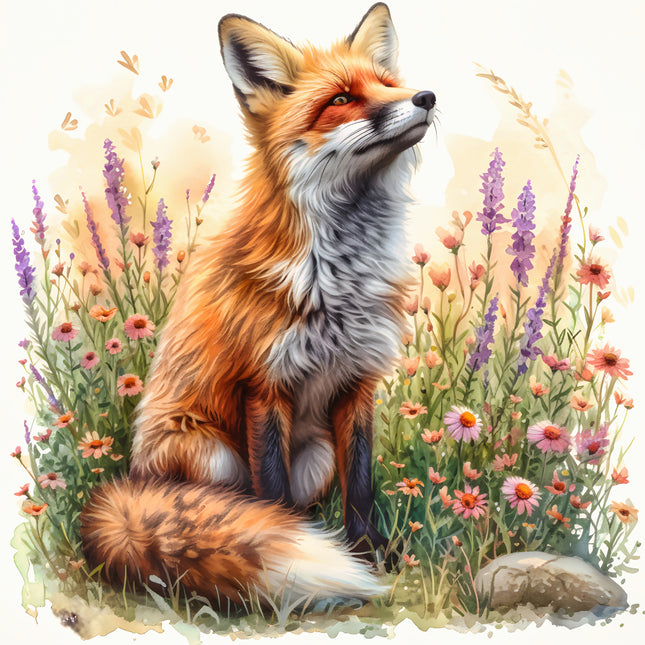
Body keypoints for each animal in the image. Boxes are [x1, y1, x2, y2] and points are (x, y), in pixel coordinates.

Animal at [80, 3, 436, 604]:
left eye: (390, 86)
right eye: (341, 99)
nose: (427, 97)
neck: (336, 277)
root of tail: (134, 482)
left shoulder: (358, 383)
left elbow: (362, 486)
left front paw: (369, 554)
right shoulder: (264, 385)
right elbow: (271, 494)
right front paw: (284, 546)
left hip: (315, 455)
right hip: (213, 453)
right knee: (236, 505)